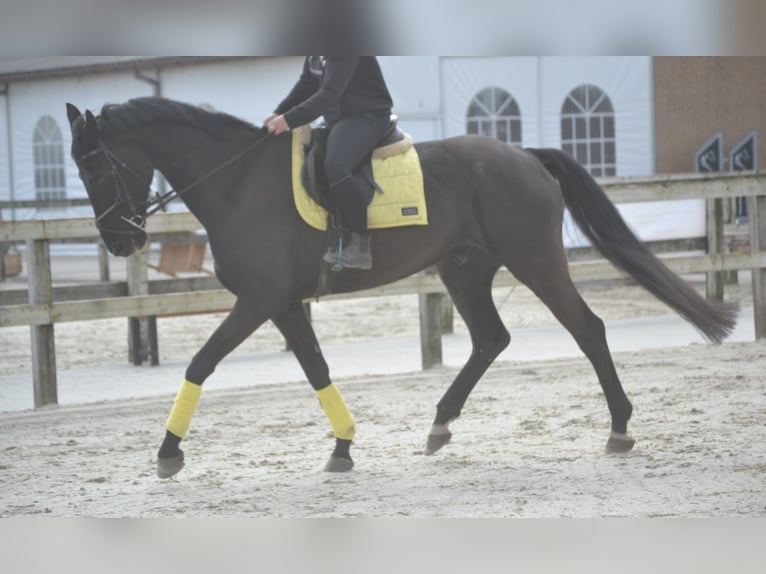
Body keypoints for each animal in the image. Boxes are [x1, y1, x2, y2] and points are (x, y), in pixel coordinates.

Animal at [65, 97, 738, 479]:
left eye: (95, 164)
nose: (119, 242)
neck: (238, 182)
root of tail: (524, 155)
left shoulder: (257, 301)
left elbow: (202, 363)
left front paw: (167, 452)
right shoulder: (282, 304)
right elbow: (315, 368)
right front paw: (342, 448)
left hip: (534, 261)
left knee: (587, 329)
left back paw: (619, 428)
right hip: (465, 269)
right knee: (490, 340)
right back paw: (439, 425)